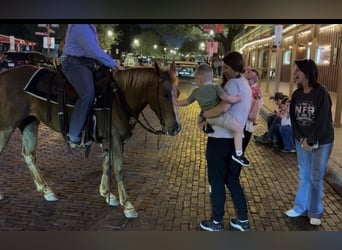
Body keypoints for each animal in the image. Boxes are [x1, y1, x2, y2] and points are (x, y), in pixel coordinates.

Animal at [0, 63, 182, 219]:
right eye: (165, 95)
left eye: (178, 93)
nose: (175, 128)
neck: (119, 97)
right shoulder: (115, 140)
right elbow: (119, 170)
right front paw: (128, 205)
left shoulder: (111, 141)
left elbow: (107, 164)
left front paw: (107, 194)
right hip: (7, 126)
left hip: (30, 122)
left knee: (29, 155)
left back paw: (46, 190)